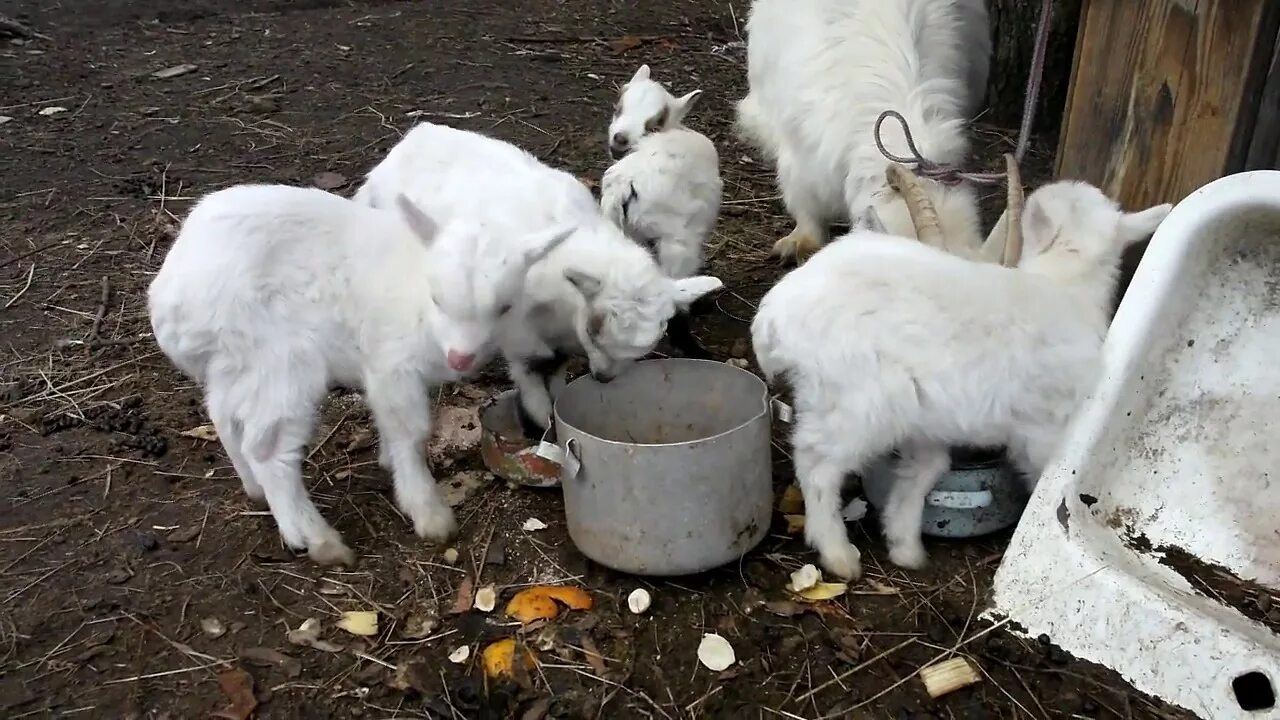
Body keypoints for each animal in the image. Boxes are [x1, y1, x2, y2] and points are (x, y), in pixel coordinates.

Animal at [355, 122, 727, 435]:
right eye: (593, 330)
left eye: (649, 340)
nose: (603, 378)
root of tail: (406, 142)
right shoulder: (519, 335)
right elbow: (533, 376)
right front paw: (538, 427)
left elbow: (558, 370)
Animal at [599, 65, 721, 356]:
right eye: (618, 108)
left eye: (653, 124)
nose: (619, 139)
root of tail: (624, 185)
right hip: (678, 239)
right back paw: (694, 348)